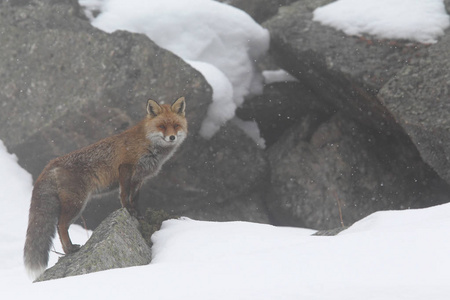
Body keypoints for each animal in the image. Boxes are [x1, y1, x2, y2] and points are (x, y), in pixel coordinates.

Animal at [24, 97, 186, 280]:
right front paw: (128, 211)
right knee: (61, 225)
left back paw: (67, 250)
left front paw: (138, 215)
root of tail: (50, 164)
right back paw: (70, 249)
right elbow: (124, 195)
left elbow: (135, 198)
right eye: (162, 126)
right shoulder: (125, 168)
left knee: (60, 227)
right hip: (77, 204)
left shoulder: (139, 178)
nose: (172, 137)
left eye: (176, 125)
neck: (148, 144)